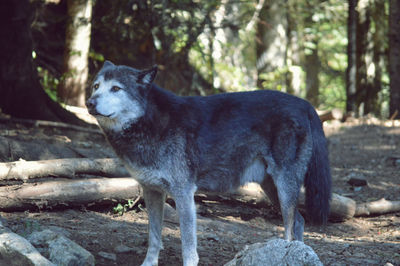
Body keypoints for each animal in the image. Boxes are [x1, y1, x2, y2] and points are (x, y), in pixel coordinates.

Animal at [86, 60, 332, 266]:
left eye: (116, 89)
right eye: (96, 86)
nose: (89, 103)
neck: (150, 122)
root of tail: (305, 104)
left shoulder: (183, 194)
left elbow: (188, 248)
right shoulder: (152, 192)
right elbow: (154, 238)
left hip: (284, 185)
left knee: (291, 226)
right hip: (272, 188)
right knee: (299, 221)